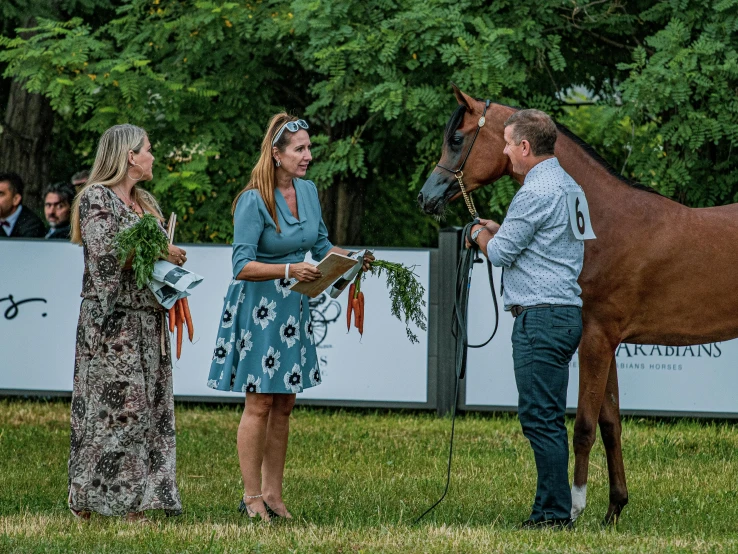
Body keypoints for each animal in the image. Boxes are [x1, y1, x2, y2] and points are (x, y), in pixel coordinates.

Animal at [416, 85, 736, 520]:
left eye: (456, 139)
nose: (425, 197)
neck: (603, 222)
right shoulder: (606, 340)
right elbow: (611, 424)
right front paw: (614, 509)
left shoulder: (596, 338)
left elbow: (584, 425)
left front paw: (574, 508)